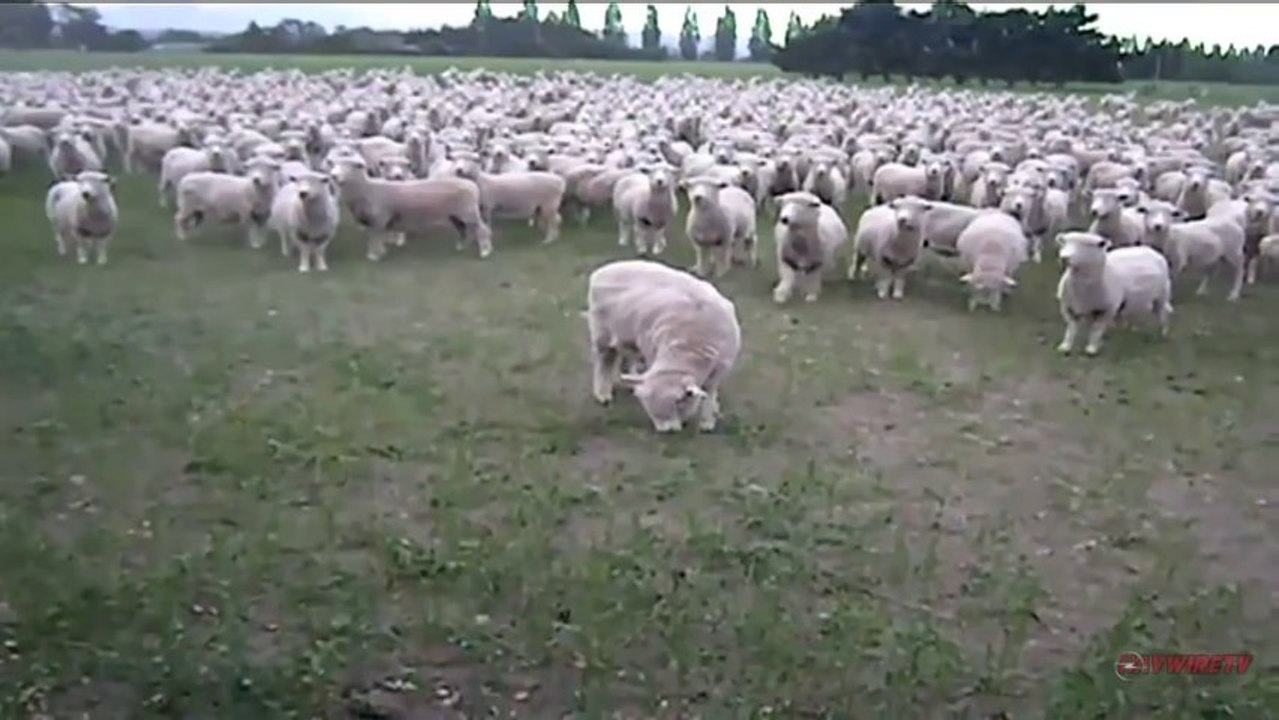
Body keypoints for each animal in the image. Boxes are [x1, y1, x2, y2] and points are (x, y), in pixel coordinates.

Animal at [329, 155, 493, 261]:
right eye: (334, 164)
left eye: (350, 166)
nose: (333, 175)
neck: (367, 189)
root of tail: (471, 185)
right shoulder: (376, 221)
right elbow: (378, 237)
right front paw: (381, 252)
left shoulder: (379, 219)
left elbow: (375, 238)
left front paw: (373, 256)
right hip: (456, 215)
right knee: (462, 229)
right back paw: (460, 247)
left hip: (469, 213)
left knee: (482, 230)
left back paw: (485, 252)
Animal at [586, 259, 741, 433]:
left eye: (677, 403)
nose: (667, 431)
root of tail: (604, 269)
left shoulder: (719, 371)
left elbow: (710, 393)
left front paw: (707, 420)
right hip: (602, 332)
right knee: (604, 362)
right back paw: (603, 394)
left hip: (627, 335)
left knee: (626, 356)